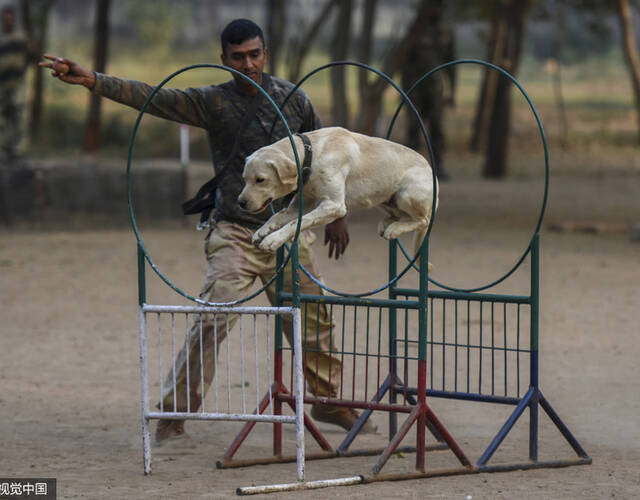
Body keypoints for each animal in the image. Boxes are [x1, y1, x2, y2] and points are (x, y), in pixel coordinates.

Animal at [238, 127, 438, 262]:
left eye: (260, 180)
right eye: (244, 179)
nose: (240, 202)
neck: (311, 155)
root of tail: (434, 176)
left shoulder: (333, 206)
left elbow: (295, 224)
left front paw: (273, 239)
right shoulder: (301, 206)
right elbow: (277, 217)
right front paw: (262, 231)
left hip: (407, 194)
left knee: (423, 221)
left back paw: (395, 228)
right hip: (384, 197)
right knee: (401, 215)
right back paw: (387, 224)